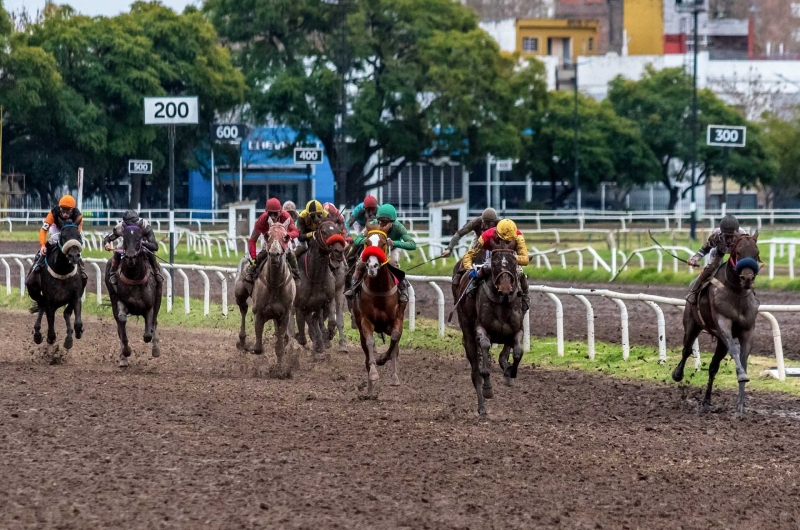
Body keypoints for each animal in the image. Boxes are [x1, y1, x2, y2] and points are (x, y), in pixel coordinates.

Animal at [106, 224, 162, 368]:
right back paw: (123, 358)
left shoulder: (149, 307)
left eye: (139, 238)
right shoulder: (120, 301)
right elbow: (122, 322)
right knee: (119, 327)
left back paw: (156, 348)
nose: (130, 256)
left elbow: (148, 333)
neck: (134, 277)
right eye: (124, 238)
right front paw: (126, 352)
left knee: (154, 322)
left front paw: (154, 348)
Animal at [352, 229, 406, 394]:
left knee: (396, 346)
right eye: (367, 243)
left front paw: (383, 359)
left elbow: (395, 339)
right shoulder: (366, 321)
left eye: (383, 243)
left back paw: (394, 377)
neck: (380, 290)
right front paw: (374, 374)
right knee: (365, 348)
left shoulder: (396, 319)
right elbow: (370, 342)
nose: (372, 266)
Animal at [456, 245, 524, 414]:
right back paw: (481, 407)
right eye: (494, 264)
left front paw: (510, 372)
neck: (502, 304)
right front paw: (488, 385)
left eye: (513, 263)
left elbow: (518, 352)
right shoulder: (481, 329)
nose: (505, 289)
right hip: (467, 331)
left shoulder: (517, 330)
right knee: (475, 372)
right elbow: (485, 350)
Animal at [672, 231, 760, 416]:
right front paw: (741, 376)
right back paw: (677, 374)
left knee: (713, 367)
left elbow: (743, 359)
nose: (747, 278)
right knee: (686, 350)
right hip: (692, 325)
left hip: (720, 342)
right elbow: (735, 350)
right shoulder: (723, 324)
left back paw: (706, 402)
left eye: (756, 253)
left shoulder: (748, 331)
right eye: (738, 252)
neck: (736, 293)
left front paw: (740, 406)